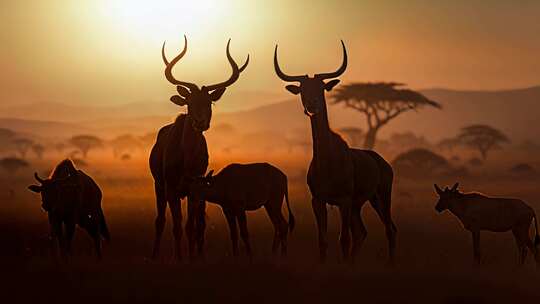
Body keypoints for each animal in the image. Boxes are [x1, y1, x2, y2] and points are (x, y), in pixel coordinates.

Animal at [149, 34, 248, 260]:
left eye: (209, 102)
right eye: (189, 101)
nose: (200, 122)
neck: (186, 160)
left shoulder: (195, 190)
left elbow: (191, 227)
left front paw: (193, 258)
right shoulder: (171, 187)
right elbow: (177, 226)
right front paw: (179, 258)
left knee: (198, 224)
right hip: (158, 186)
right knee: (160, 221)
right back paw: (154, 254)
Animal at [274, 41, 396, 264]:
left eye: (321, 88)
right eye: (302, 89)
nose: (312, 106)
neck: (327, 161)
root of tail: (383, 163)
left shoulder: (344, 201)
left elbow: (343, 239)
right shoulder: (318, 201)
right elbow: (323, 240)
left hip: (381, 198)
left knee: (389, 229)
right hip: (361, 204)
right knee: (362, 232)